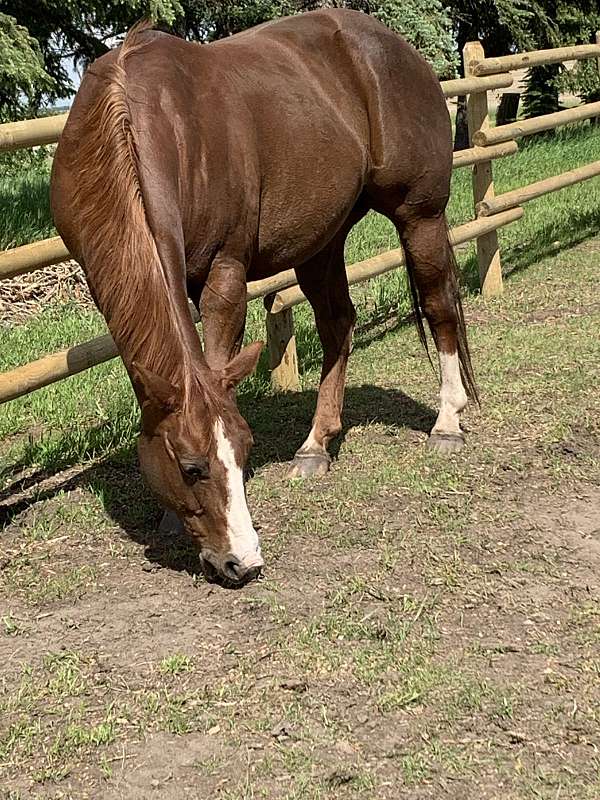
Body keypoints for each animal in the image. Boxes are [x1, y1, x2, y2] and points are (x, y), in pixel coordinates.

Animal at [50, 9, 477, 587]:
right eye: (192, 467)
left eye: (246, 450)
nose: (244, 563)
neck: (133, 115)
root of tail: (398, 49)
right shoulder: (107, 281)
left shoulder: (225, 275)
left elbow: (213, 358)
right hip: (324, 239)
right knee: (338, 324)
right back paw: (316, 444)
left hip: (421, 216)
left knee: (439, 307)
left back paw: (447, 423)